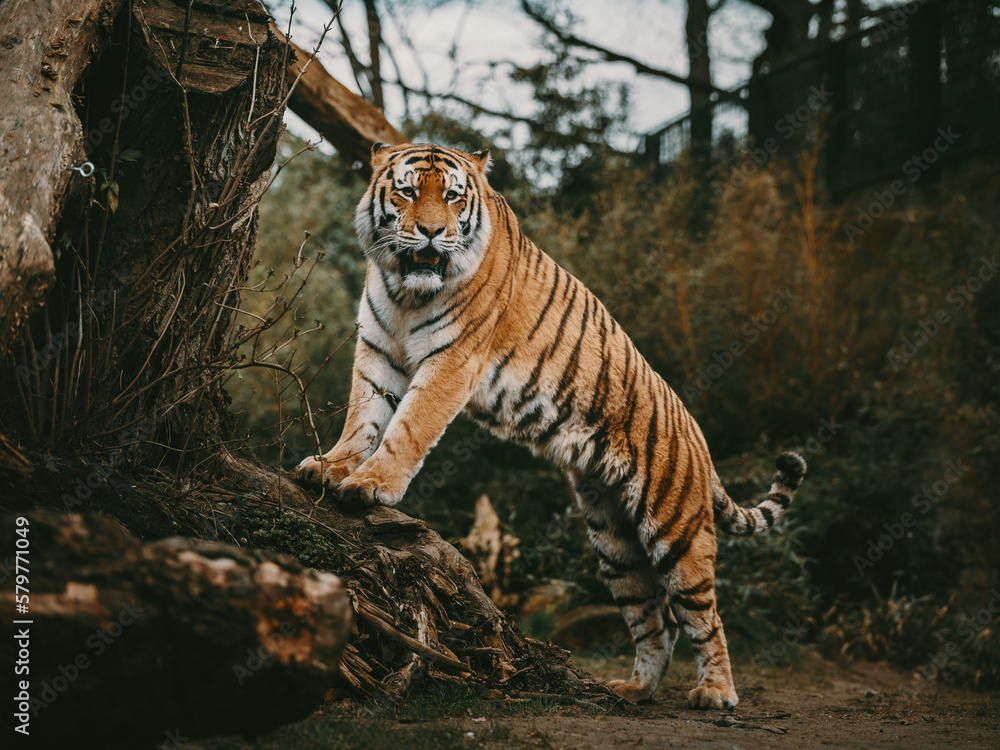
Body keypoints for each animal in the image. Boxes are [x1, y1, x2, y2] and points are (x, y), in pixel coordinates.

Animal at [296, 142, 804, 712]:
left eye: (451, 198)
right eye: (405, 192)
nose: (429, 232)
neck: (406, 290)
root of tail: (698, 437)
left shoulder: (452, 359)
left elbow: (408, 427)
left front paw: (370, 483)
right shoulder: (378, 349)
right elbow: (362, 415)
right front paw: (331, 466)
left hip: (677, 532)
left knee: (705, 616)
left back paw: (716, 692)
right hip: (613, 542)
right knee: (656, 620)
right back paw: (635, 690)